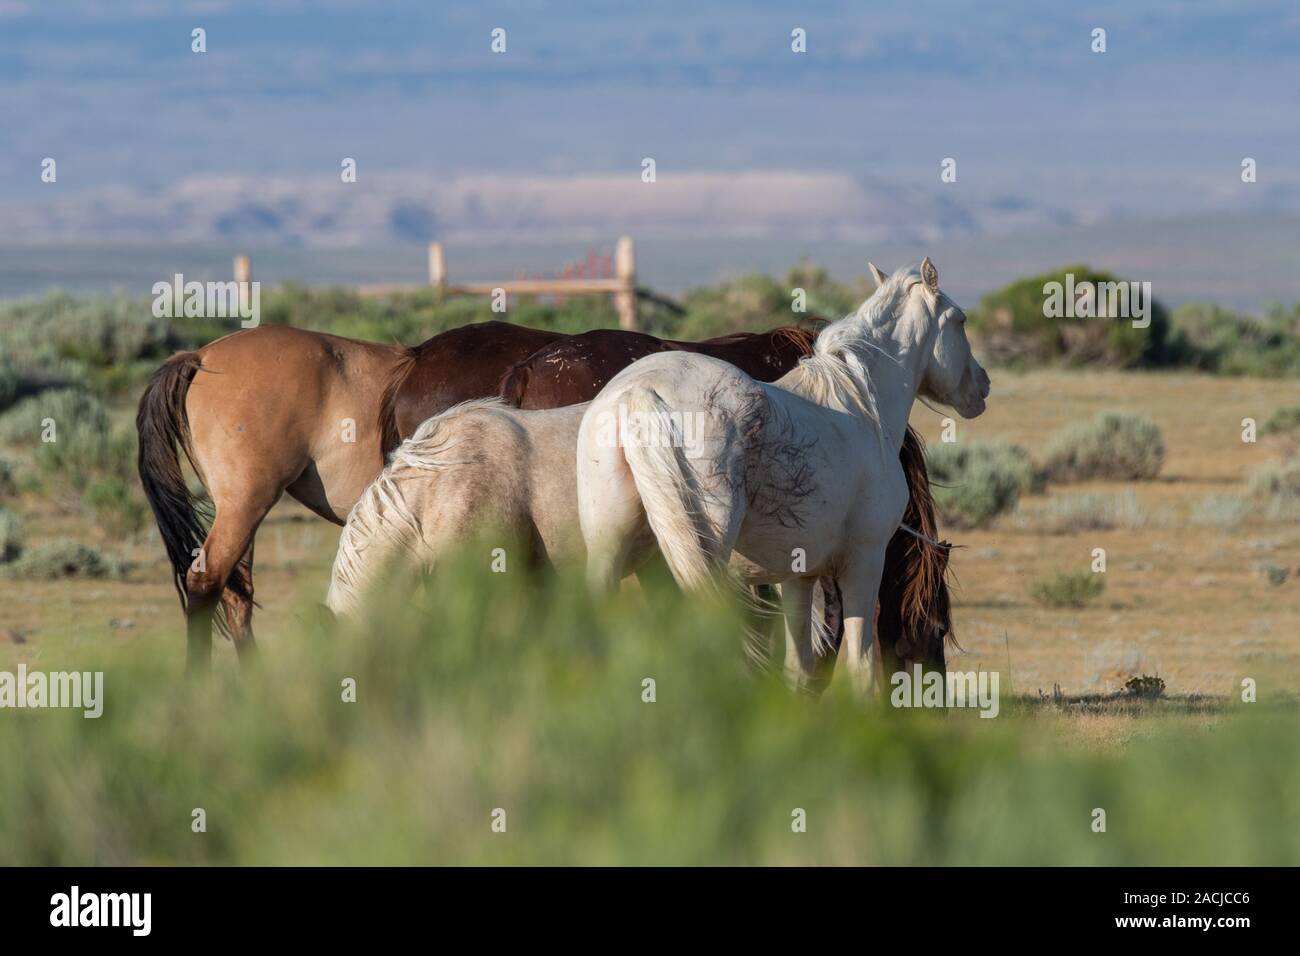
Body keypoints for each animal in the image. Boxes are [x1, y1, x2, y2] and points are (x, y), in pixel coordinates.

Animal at [573, 260, 989, 696]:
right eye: (960, 320)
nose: (983, 385)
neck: (863, 409)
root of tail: (639, 392)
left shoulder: (799, 576)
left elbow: (798, 667)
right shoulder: (864, 561)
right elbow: (858, 665)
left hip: (612, 545)